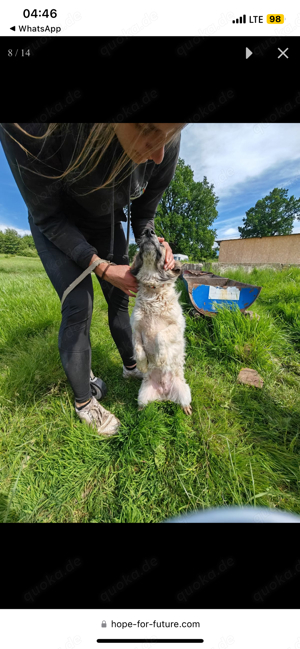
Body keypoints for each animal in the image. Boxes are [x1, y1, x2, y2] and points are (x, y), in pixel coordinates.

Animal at [129, 228, 192, 416]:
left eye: (163, 244)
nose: (148, 231)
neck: (153, 290)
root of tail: (165, 394)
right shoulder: (136, 328)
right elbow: (138, 348)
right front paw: (142, 364)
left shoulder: (177, 326)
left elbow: (160, 336)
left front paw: (160, 358)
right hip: (143, 394)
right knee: (143, 405)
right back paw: (139, 412)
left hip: (185, 391)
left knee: (184, 402)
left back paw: (186, 408)